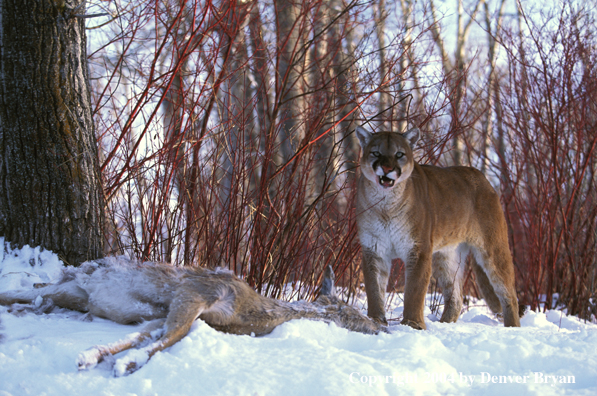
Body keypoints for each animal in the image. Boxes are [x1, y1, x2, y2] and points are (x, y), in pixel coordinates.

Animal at [356, 126, 520, 328]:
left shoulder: (418, 249)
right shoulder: (374, 249)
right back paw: (445, 324)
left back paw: (512, 327)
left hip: (493, 248)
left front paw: (412, 324)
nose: (387, 169)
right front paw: (376, 320)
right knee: (456, 297)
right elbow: (374, 288)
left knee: (509, 294)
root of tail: (481, 177)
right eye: (376, 153)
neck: (386, 204)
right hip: (446, 257)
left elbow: (414, 290)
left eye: (399, 154)